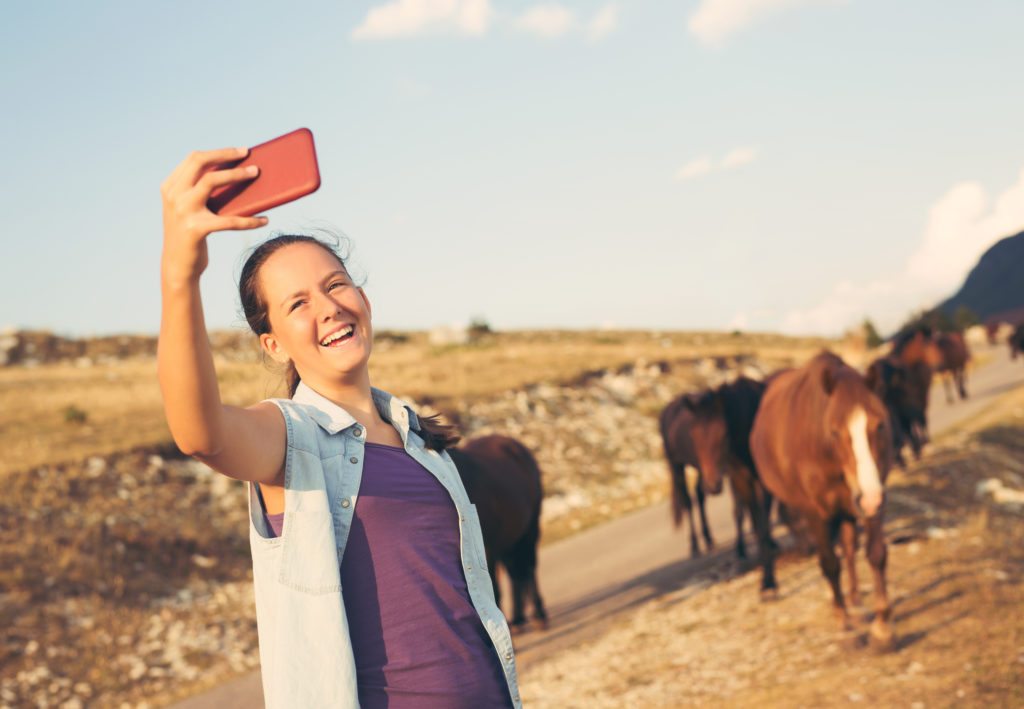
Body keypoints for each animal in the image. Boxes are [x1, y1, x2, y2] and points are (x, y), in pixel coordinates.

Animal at [446, 434, 544, 635]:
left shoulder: (486, 551)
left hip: (530, 528)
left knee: (529, 568)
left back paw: (538, 616)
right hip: (509, 541)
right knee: (515, 573)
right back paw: (518, 619)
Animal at [749, 350, 892, 647]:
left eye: (880, 424)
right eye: (835, 431)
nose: (869, 497)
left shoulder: (873, 495)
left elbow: (875, 553)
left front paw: (882, 626)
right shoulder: (815, 511)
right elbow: (829, 563)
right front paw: (845, 625)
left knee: (848, 547)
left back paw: (855, 600)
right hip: (763, 490)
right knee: (764, 529)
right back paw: (770, 586)